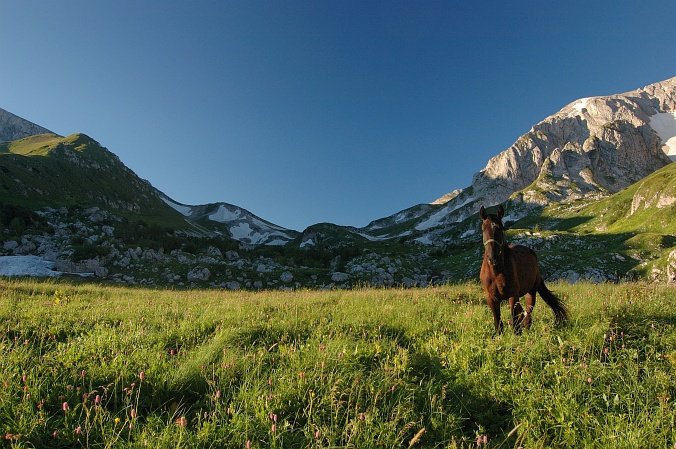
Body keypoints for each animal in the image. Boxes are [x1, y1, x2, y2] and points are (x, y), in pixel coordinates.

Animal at [478, 204, 568, 332]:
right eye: (483, 229)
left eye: (500, 228)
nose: (492, 258)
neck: (496, 272)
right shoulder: (491, 298)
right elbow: (498, 323)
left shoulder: (512, 296)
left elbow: (514, 321)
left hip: (530, 293)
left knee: (527, 314)